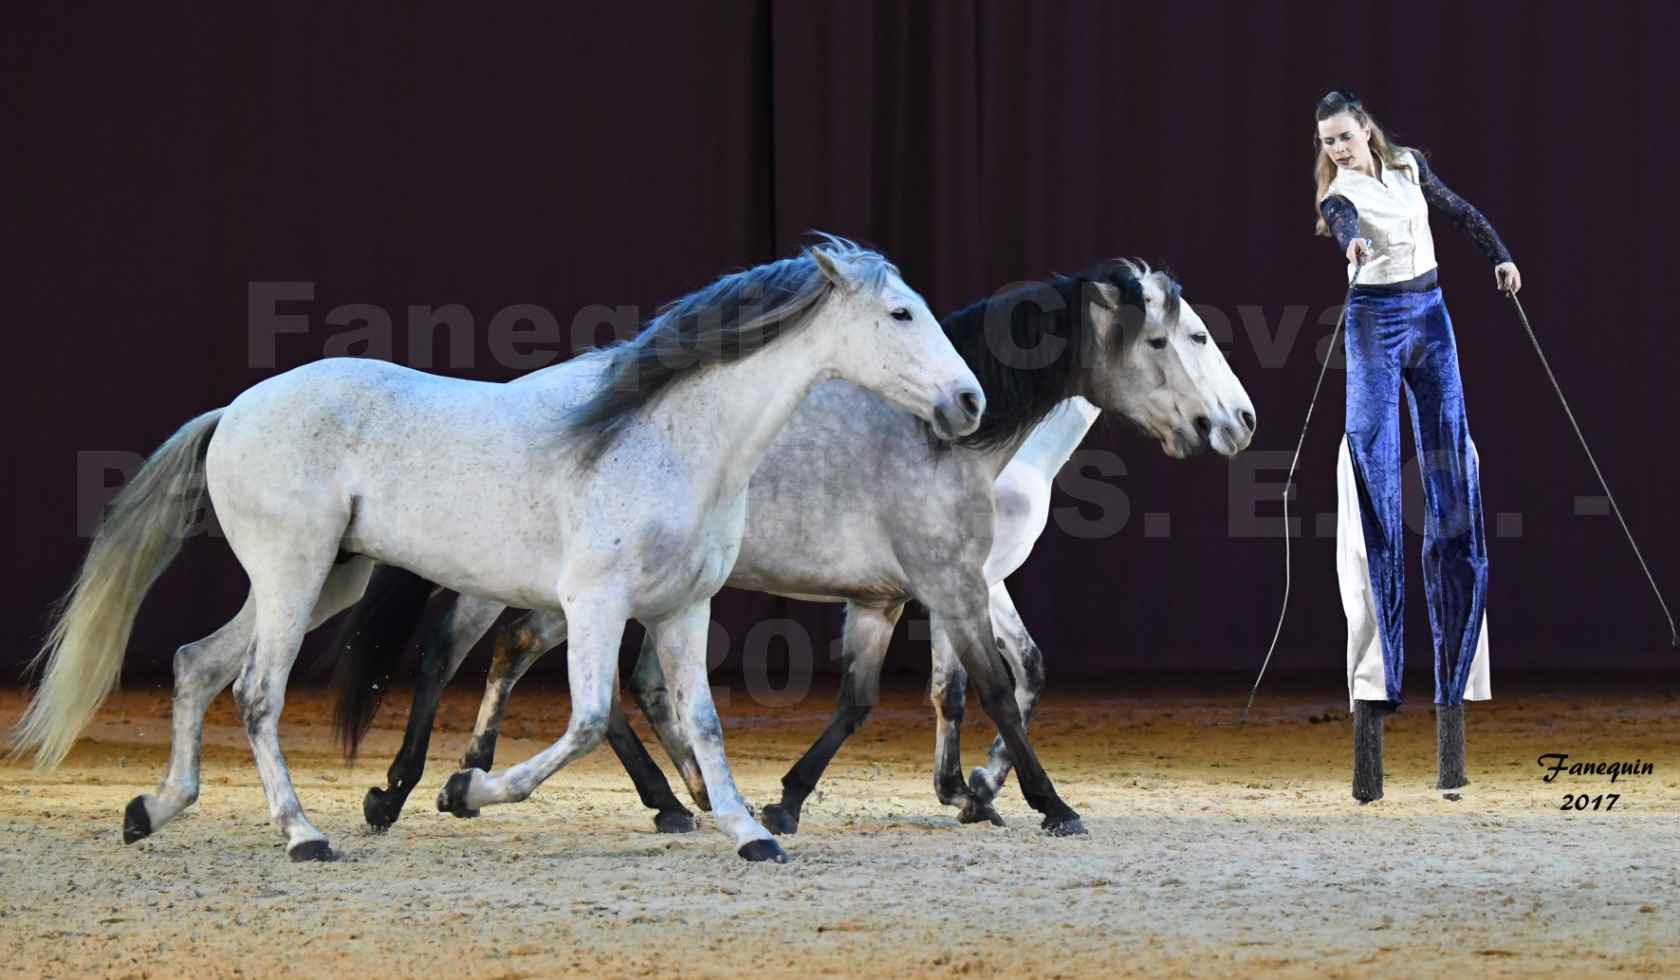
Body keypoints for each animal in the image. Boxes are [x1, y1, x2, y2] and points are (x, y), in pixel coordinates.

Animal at [9, 237, 981, 867]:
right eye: (900, 312)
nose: (968, 402)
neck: (665, 437)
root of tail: (236, 412)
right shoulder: (595, 603)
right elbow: (587, 719)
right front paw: (461, 792)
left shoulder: (682, 607)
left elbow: (700, 721)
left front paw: (750, 832)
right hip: (293, 572)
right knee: (253, 693)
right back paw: (304, 834)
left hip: (323, 580)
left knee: (193, 665)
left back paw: (151, 810)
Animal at [330, 260, 1249, 837]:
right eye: (1172, 340)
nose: (1238, 422)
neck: (948, 442)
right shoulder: (958, 582)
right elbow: (990, 684)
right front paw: (1040, 802)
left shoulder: (893, 597)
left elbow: (874, 698)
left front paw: (803, 801)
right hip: (529, 582)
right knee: (456, 654)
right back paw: (407, 789)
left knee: (561, 669)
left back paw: (655, 795)